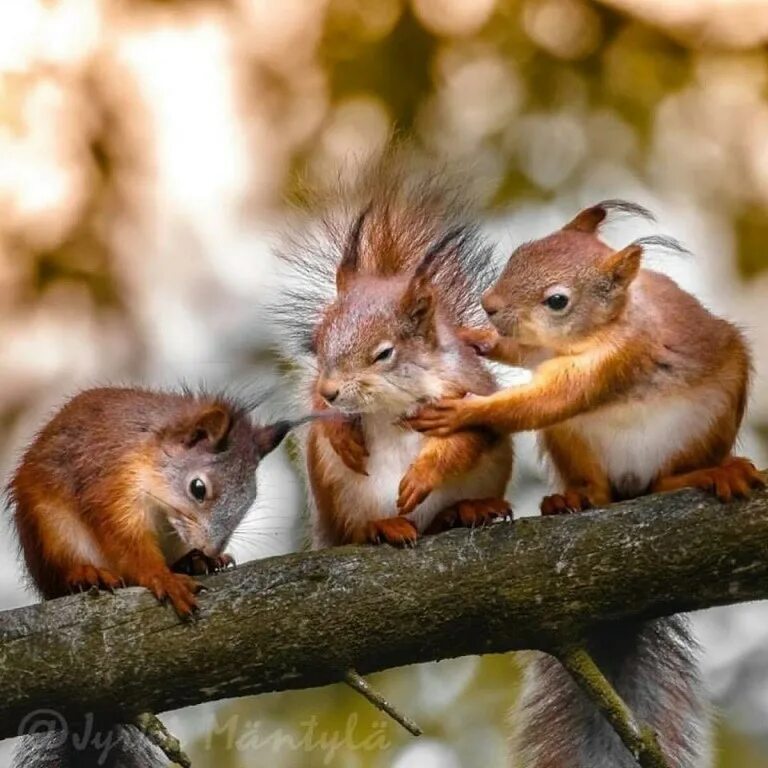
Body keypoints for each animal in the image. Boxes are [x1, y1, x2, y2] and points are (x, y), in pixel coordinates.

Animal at [11, 388, 300, 616]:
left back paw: (194, 562)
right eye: (198, 488)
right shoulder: (111, 487)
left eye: (251, 498)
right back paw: (87, 573)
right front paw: (165, 579)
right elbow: (127, 545)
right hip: (52, 531)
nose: (210, 549)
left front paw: (203, 559)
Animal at [272, 166, 512, 552]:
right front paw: (339, 431)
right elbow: (318, 407)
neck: (391, 402)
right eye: (318, 343)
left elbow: (469, 436)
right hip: (338, 493)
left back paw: (466, 510)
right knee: (354, 531)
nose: (331, 392)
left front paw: (422, 476)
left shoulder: (474, 390)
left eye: (384, 353)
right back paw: (382, 527)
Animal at [408, 200, 760, 768]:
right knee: (596, 485)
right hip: (571, 442)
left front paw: (467, 410)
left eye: (558, 301)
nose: (489, 305)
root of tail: (629, 485)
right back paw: (577, 497)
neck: (603, 327)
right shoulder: (538, 353)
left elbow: (545, 400)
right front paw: (472, 337)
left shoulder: (616, 359)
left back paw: (708, 473)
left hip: (713, 414)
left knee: (666, 479)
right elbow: (520, 358)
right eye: (520, 252)